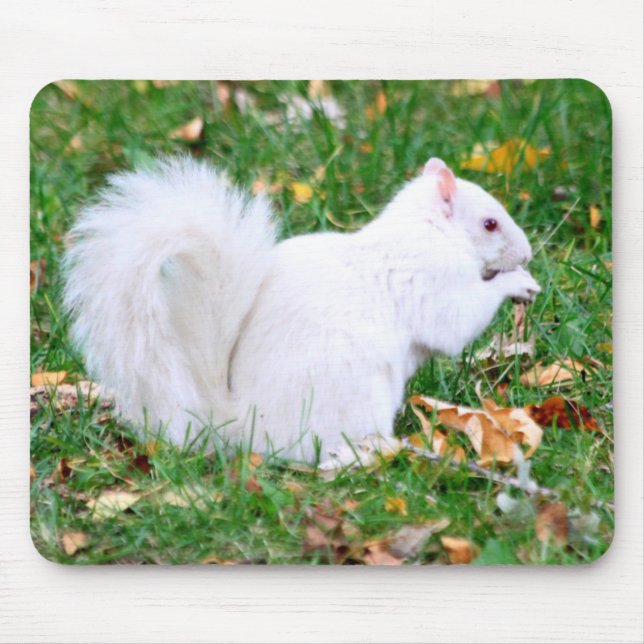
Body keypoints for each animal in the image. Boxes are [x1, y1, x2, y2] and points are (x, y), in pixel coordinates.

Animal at [63, 156, 540, 463]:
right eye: (490, 224)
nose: (528, 253)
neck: (429, 230)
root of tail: (245, 426)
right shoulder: (431, 278)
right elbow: (455, 323)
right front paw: (517, 283)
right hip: (354, 391)